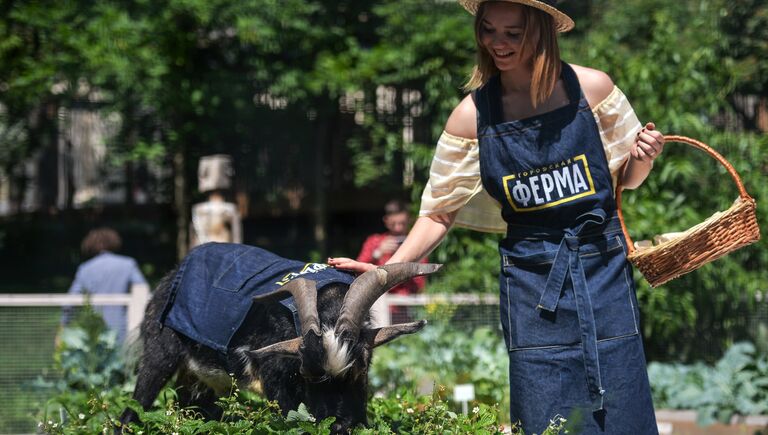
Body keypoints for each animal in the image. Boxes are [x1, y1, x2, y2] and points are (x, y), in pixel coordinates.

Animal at [121, 244, 444, 434]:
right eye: (305, 375)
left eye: (361, 369)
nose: (337, 426)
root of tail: (168, 278)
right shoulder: (276, 379)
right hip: (160, 351)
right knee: (134, 407)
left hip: (200, 378)